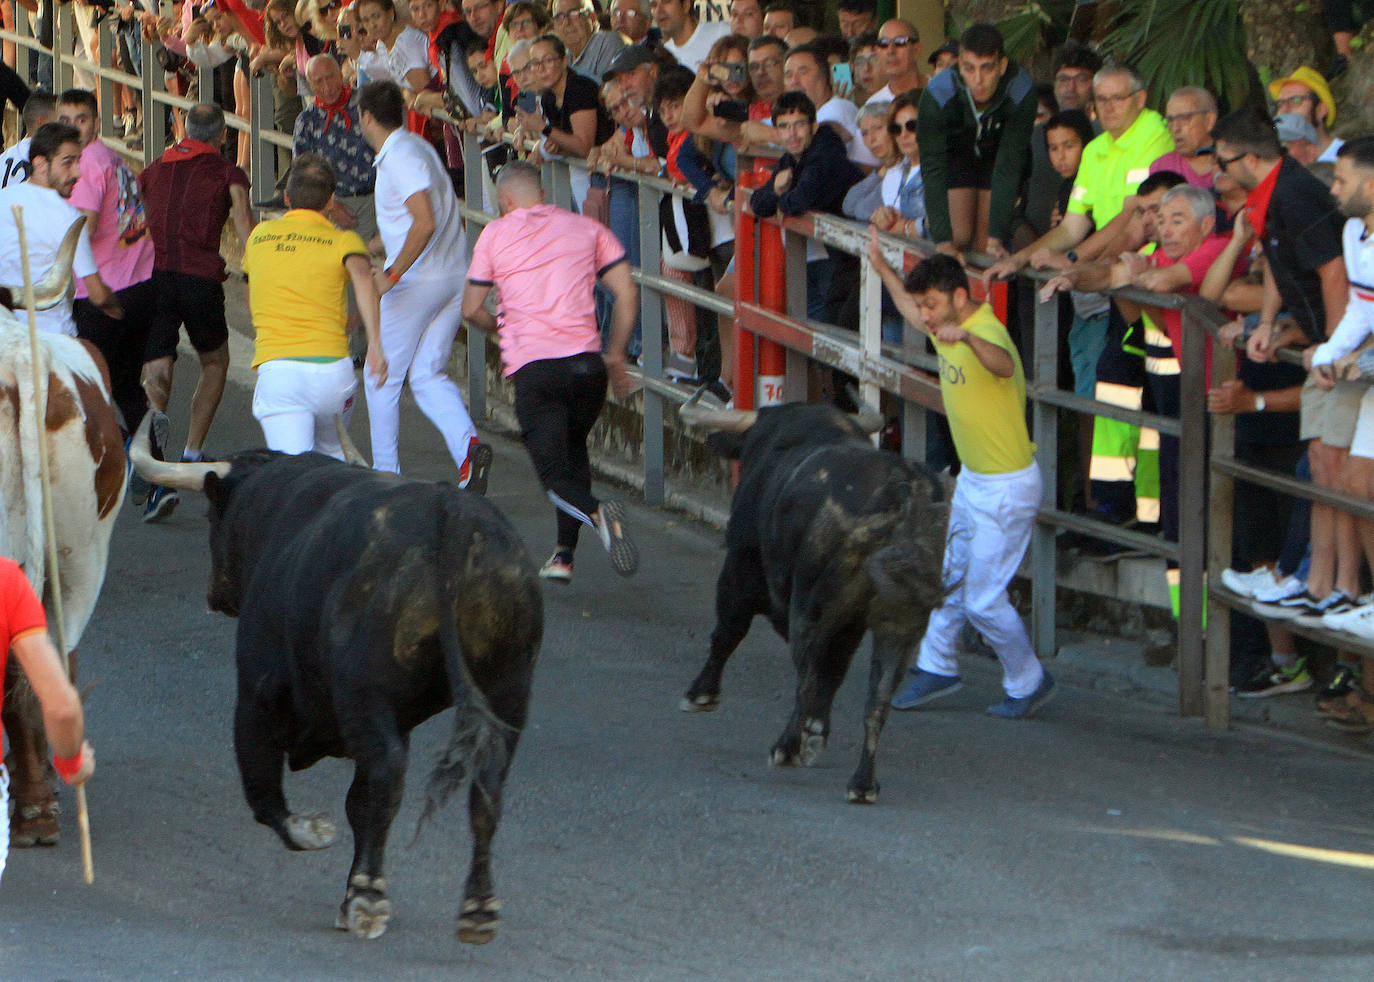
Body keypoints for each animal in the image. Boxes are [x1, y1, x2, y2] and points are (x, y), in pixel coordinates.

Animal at [678, 398, 956, 807]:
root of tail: (903, 496)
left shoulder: (741, 567)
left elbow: (729, 631)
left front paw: (700, 694)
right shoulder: (852, 624)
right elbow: (835, 672)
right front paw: (818, 732)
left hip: (810, 605)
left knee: (806, 673)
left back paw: (787, 749)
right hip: (900, 620)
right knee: (877, 695)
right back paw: (862, 783)